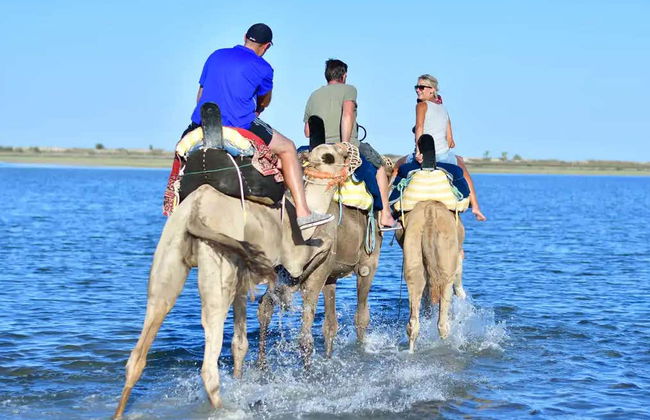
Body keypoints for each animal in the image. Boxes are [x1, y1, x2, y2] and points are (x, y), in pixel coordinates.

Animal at [113, 116, 350, 417]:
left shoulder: (241, 278)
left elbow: (239, 344)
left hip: (168, 262)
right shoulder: (294, 254)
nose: (347, 147)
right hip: (216, 268)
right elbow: (319, 250)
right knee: (208, 364)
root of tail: (196, 211)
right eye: (329, 155)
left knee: (139, 352)